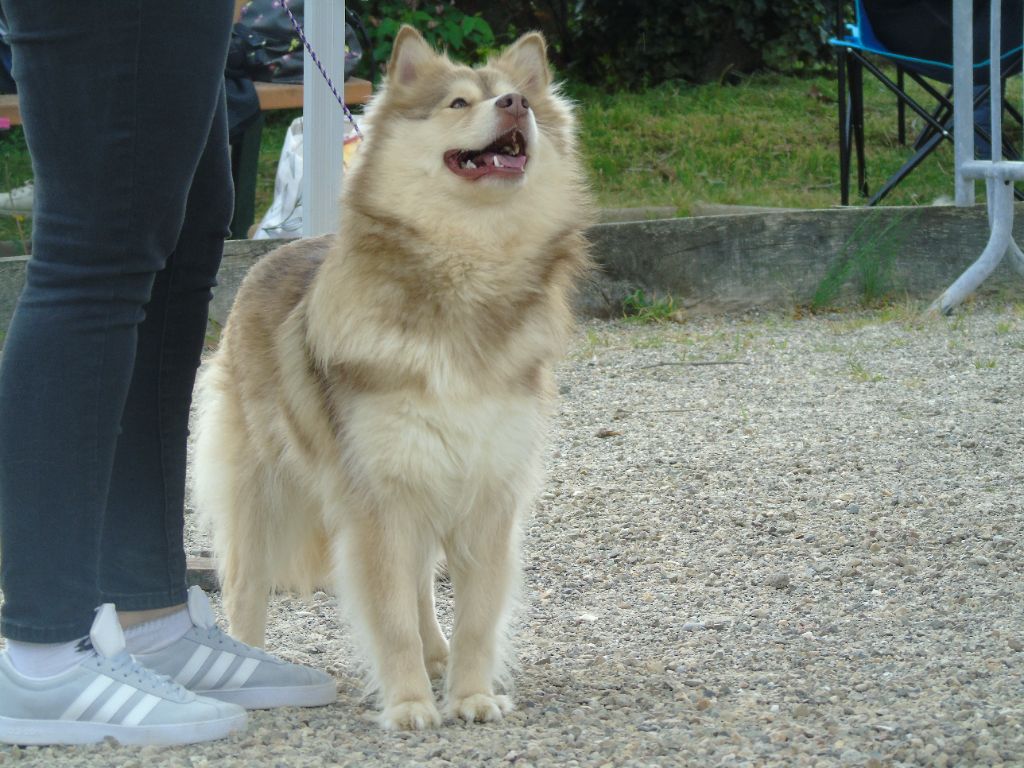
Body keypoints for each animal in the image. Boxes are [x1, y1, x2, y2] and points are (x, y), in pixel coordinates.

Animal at [192, 25, 593, 733]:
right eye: (459, 103)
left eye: (515, 97)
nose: (516, 104)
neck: (467, 276)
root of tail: (269, 258)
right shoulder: (379, 498)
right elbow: (389, 613)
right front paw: (408, 703)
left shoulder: (485, 493)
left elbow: (475, 616)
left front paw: (470, 694)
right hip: (262, 491)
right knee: (245, 585)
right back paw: (249, 660)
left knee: (422, 587)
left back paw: (437, 657)